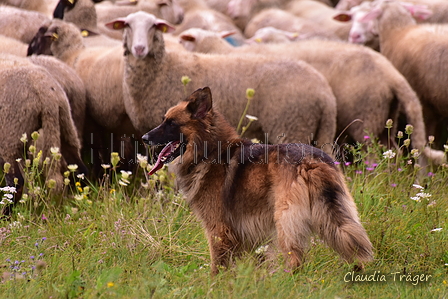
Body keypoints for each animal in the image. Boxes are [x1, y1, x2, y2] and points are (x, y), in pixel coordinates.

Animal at [107, 12, 338, 151]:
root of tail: (326, 96)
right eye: (127, 26)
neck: (163, 68)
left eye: (153, 27)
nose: (139, 49)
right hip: (320, 131)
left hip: (292, 126)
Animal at [144, 87, 374, 276]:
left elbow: (217, 265)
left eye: (171, 123)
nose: (145, 138)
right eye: (164, 120)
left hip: (286, 220)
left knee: (295, 259)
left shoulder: (218, 229)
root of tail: (310, 161)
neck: (210, 152)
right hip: (337, 211)